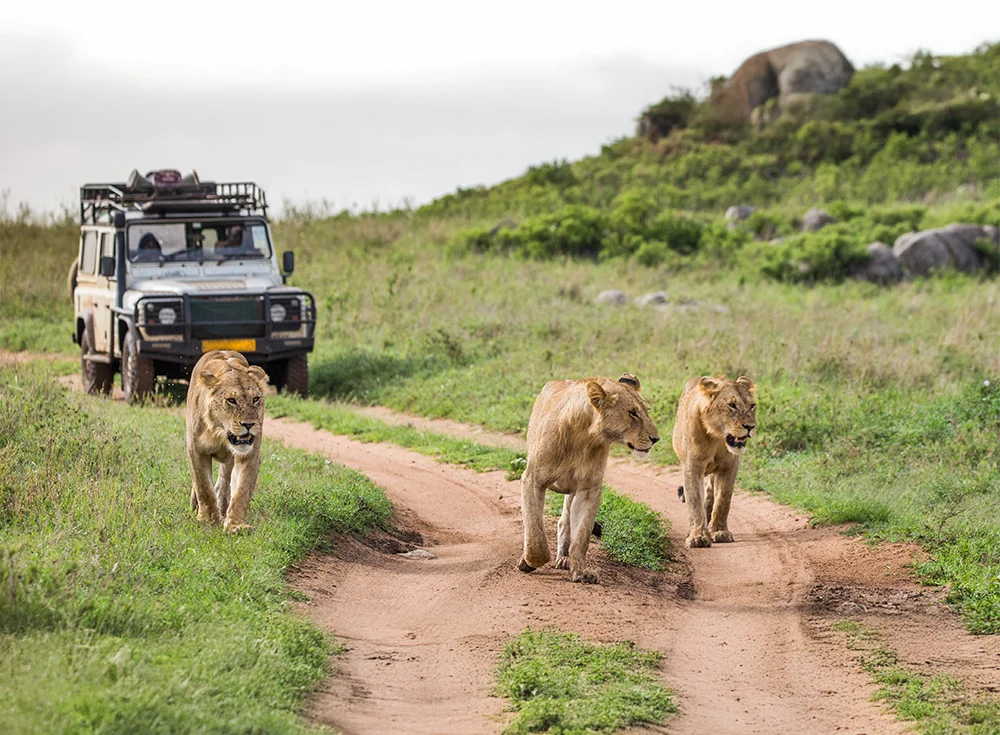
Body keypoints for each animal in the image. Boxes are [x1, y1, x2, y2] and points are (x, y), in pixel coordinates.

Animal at [186, 350, 268, 533]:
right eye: (231, 400)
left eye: (255, 399)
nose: (249, 424)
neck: (220, 433)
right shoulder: (195, 450)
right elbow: (203, 487)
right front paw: (208, 520)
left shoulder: (249, 454)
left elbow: (242, 490)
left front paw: (236, 525)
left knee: (224, 482)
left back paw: (223, 507)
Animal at [518, 373, 660, 583]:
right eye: (632, 413)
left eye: (646, 411)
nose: (656, 439)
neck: (585, 436)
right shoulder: (533, 480)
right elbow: (535, 532)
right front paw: (528, 562)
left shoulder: (588, 489)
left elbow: (582, 535)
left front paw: (581, 572)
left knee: (565, 521)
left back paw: (564, 558)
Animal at [672, 375, 756, 548]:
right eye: (732, 405)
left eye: (752, 406)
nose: (750, 427)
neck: (717, 437)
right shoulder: (692, 466)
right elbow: (695, 500)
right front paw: (697, 537)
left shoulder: (729, 466)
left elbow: (723, 499)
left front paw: (719, 531)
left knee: (711, 491)